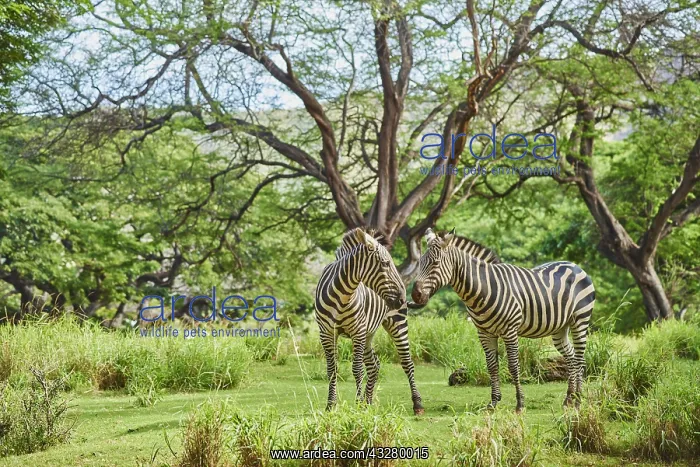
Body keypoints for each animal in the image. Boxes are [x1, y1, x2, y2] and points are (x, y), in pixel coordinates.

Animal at [315, 228, 424, 415]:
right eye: (385, 264)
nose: (402, 298)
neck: (342, 296)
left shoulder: (357, 331)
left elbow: (357, 369)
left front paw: (357, 404)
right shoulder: (327, 333)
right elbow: (332, 370)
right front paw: (331, 405)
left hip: (397, 323)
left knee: (407, 363)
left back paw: (417, 404)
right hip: (368, 333)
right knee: (374, 364)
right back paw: (368, 401)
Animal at [411, 228, 595, 412]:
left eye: (435, 263)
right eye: (419, 263)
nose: (415, 295)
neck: (482, 289)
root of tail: (575, 266)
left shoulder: (510, 331)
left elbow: (513, 366)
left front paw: (520, 404)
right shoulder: (484, 333)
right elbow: (492, 366)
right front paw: (493, 403)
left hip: (580, 320)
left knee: (579, 359)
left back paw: (578, 402)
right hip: (560, 328)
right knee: (571, 358)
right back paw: (569, 399)